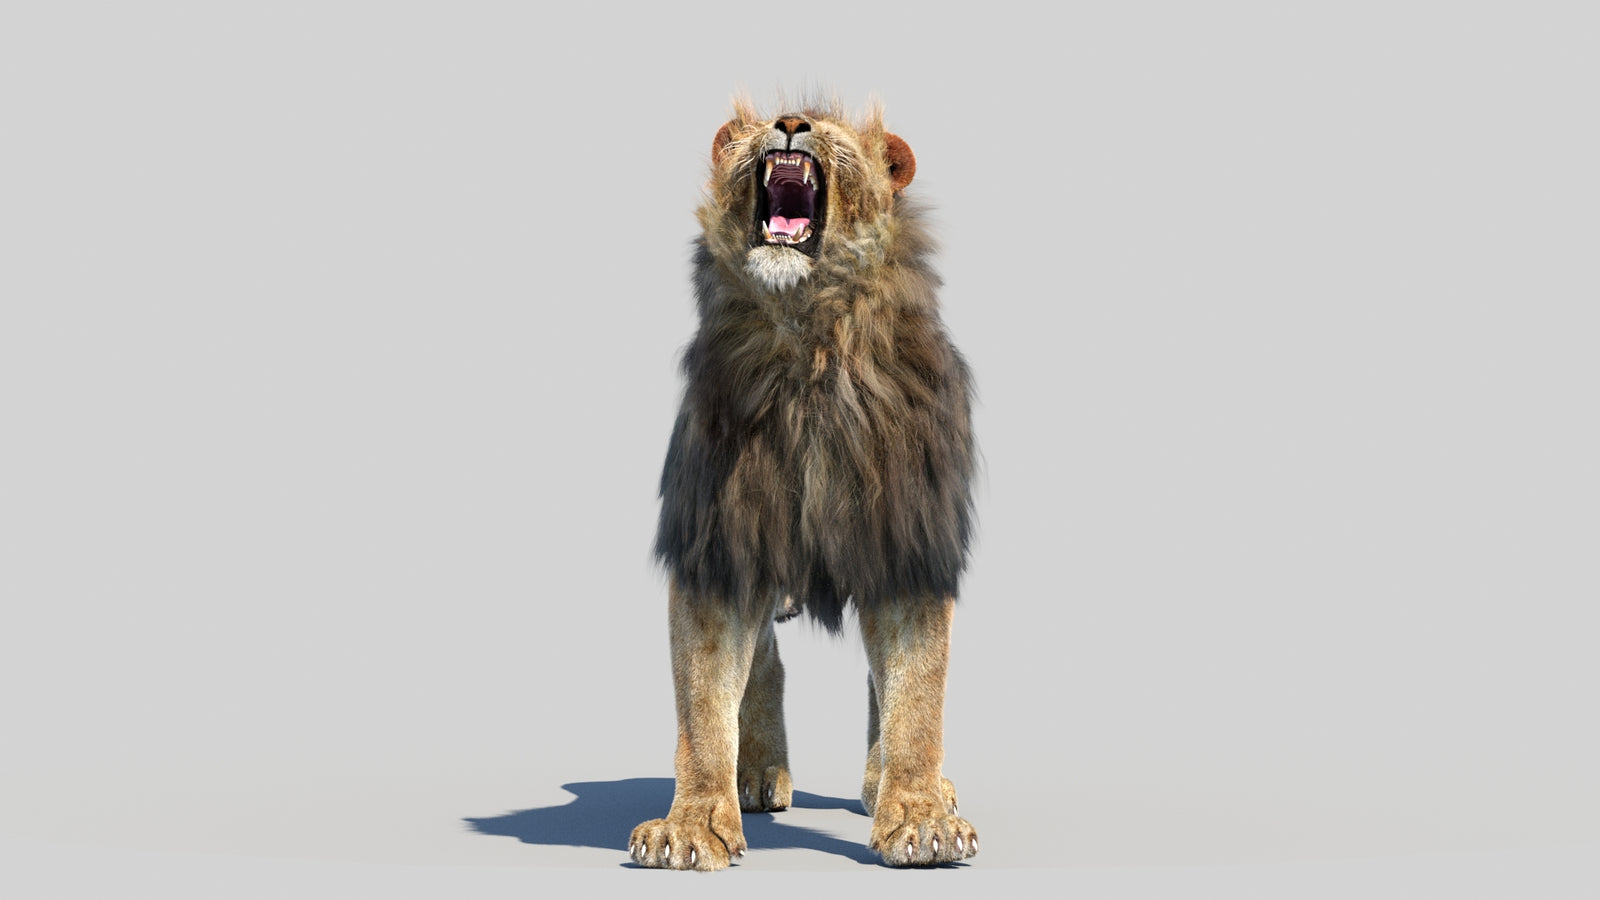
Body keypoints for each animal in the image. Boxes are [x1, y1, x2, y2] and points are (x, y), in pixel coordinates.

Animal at [629, 97, 978, 870]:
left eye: (833, 124)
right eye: (767, 117)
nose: (790, 122)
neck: (807, 339)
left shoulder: (906, 541)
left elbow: (916, 692)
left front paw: (920, 818)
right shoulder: (720, 540)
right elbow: (704, 700)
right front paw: (692, 823)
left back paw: (893, 786)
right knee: (764, 663)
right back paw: (756, 772)